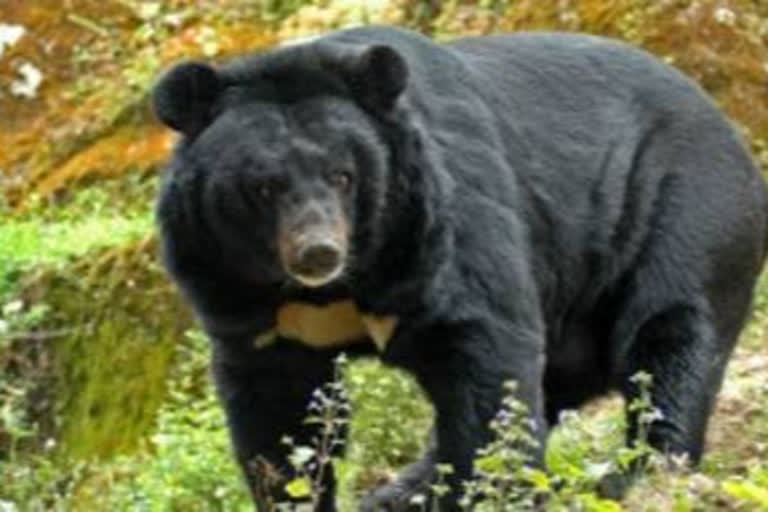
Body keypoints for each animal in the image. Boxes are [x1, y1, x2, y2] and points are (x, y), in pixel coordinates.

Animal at [153, 26, 768, 510]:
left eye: (342, 175)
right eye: (264, 186)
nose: (317, 252)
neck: (339, 286)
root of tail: (733, 132)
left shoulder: (442, 226)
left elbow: (487, 357)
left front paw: (486, 492)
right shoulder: (231, 284)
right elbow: (277, 411)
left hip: (687, 212)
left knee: (670, 341)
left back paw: (637, 476)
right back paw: (399, 492)